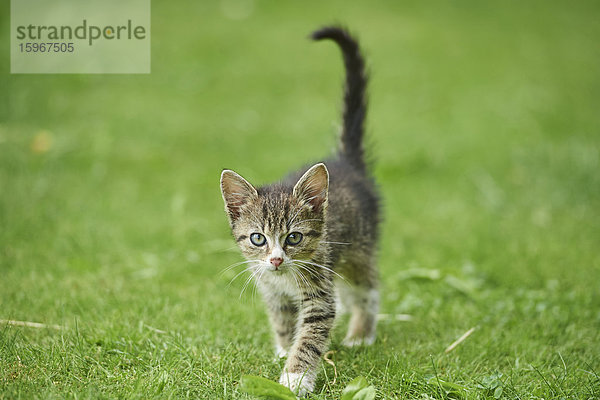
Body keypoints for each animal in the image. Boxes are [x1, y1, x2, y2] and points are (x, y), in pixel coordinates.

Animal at [220, 26, 380, 396]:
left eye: (293, 238)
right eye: (258, 239)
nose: (277, 260)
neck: (284, 278)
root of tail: (346, 163)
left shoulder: (319, 291)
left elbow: (311, 335)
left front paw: (295, 376)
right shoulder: (271, 289)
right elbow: (282, 318)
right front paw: (283, 348)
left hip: (359, 250)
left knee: (367, 290)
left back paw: (361, 334)